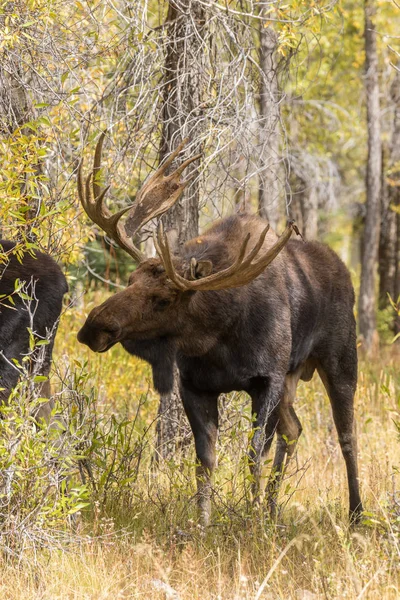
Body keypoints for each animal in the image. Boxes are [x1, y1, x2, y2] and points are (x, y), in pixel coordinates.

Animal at [76, 135, 364, 524]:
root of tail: (344, 270)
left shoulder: (267, 379)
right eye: (131, 279)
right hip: (292, 378)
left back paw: (356, 513)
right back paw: (273, 509)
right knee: (294, 429)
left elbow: (253, 455)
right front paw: (204, 522)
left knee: (347, 435)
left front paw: (251, 520)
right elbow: (205, 460)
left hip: (340, 358)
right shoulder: (195, 385)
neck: (217, 338)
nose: (94, 326)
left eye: (163, 300)